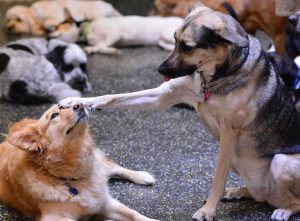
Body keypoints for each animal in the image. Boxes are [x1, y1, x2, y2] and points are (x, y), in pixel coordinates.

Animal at [0, 103, 158, 221]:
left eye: (66, 105)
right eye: (54, 115)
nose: (80, 104)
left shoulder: (105, 202)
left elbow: (134, 213)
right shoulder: (56, 217)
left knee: (115, 168)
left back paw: (143, 176)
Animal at [49, 15, 183, 54]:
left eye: (60, 31)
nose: (48, 39)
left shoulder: (115, 34)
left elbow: (103, 44)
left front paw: (112, 50)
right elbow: (99, 45)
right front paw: (92, 48)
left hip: (167, 33)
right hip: (162, 40)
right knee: (166, 45)